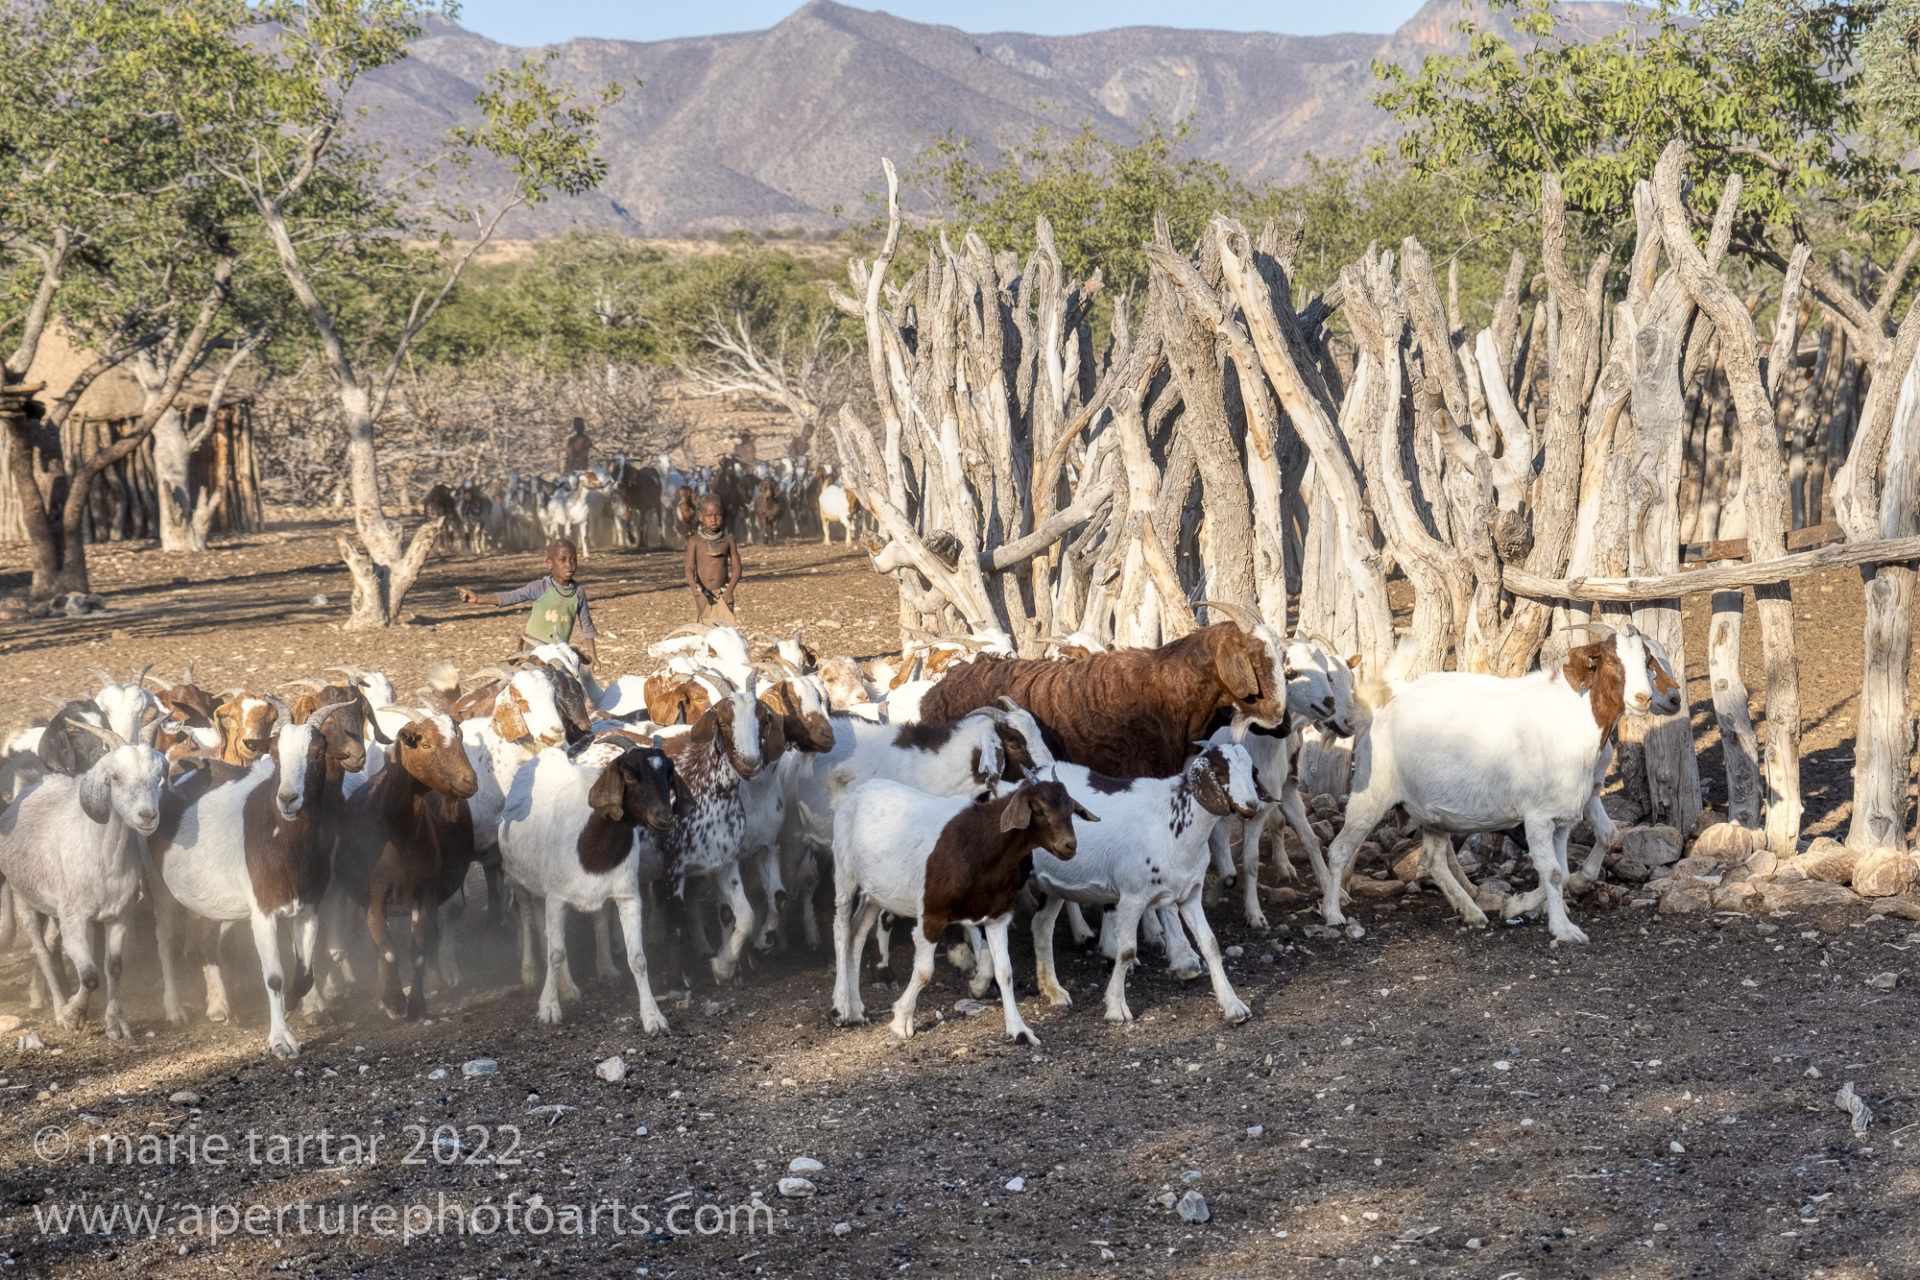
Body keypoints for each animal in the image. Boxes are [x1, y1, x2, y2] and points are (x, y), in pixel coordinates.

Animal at [828, 772, 1092, 1045]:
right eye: (1038, 810)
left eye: (1071, 809)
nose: (1069, 845)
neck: (980, 846)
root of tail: (849, 795)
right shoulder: (933, 912)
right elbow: (925, 971)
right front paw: (901, 1022)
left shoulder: (996, 915)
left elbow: (1005, 972)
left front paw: (1019, 1030)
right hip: (845, 871)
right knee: (841, 928)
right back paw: (840, 1009)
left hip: (876, 892)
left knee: (856, 934)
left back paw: (856, 1011)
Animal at [1030, 746, 1265, 1025]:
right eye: (1220, 772)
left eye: (1252, 770)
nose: (1251, 806)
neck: (1174, 824)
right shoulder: (1132, 896)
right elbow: (1126, 951)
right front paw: (1116, 1008)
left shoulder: (1190, 894)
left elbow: (1210, 944)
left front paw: (1233, 1005)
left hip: (1052, 883)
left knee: (1041, 925)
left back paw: (1053, 990)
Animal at [1321, 627, 1669, 944]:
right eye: (1610, 660)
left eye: (1646, 660)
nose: (1643, 698)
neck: (1573, 722)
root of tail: (1374, 717)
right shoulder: (1538, 817)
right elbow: (1553, 872)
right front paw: (1563, 929)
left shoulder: (1562, 819)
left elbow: (1564, 871)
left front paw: (1518, 906)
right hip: (1371, 794)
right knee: (1339, 849)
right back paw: (1333, 912)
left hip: (1433, 814)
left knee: (1432, 860)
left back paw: (1471, 911)